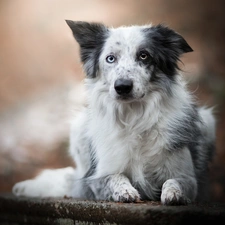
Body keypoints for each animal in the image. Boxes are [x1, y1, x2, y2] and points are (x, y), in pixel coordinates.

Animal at [12, 21, 216, 206]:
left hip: (208, 121)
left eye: (144, 55)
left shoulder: (188, 177)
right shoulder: (96, 178)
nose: (123, 86)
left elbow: (175, 181)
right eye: (110, 58)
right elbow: (114, 178)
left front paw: (173, 194)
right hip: (78, 129)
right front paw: (125, 191)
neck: (134, 117)